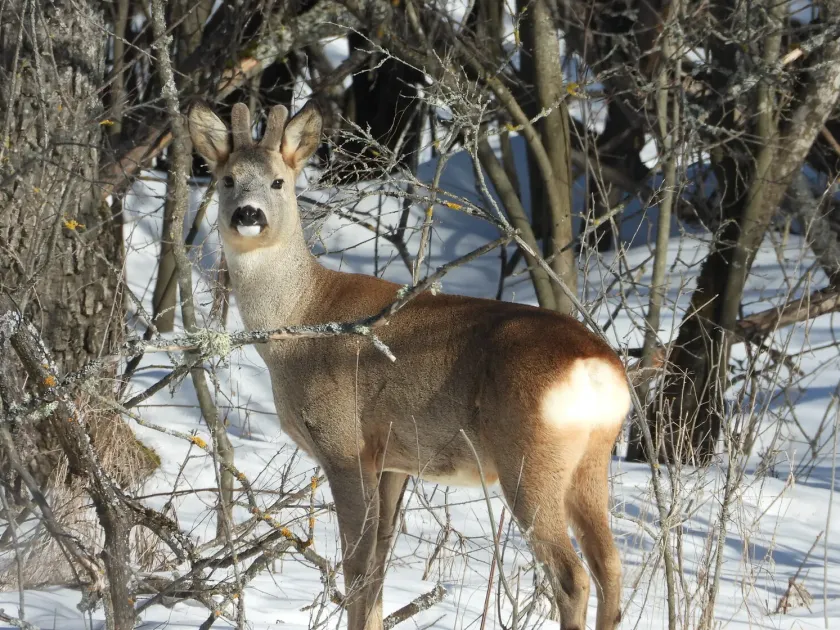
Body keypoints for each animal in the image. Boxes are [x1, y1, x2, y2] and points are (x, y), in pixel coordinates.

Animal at [188, 99, 631, 630]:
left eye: (278, 181)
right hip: (590, 463)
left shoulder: (345, 443)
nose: (248, 214)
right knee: (610, 567)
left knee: (572, 576)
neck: (302, 320)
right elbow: (379, 566)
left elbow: (357, 566)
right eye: (227, 179)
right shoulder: (394, 460)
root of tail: (597, 367)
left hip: (530, 459)